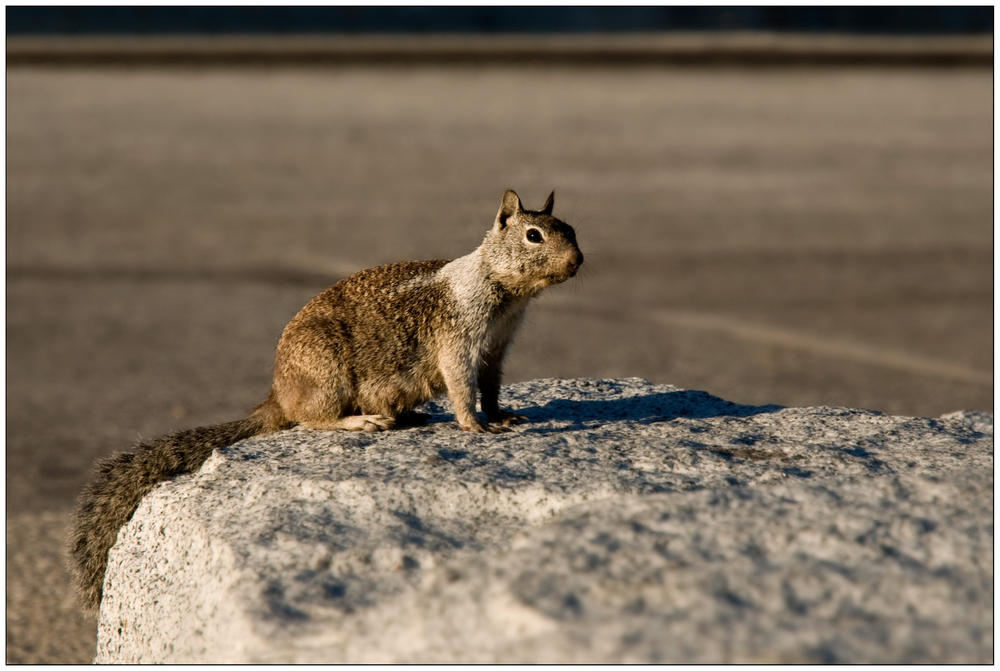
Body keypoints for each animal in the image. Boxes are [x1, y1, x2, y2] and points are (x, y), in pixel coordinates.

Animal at [68, 189, 584, 616]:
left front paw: (503, 415)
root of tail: (277, 395)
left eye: (572, 229)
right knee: (310, 420)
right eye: (534, 235)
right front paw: (474, 425)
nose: (578, 261)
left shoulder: (498, 347)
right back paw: (361, 422)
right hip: (328, 376)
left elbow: (492, 387)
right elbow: (462, 385)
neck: (503, 290)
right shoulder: (459, 339)